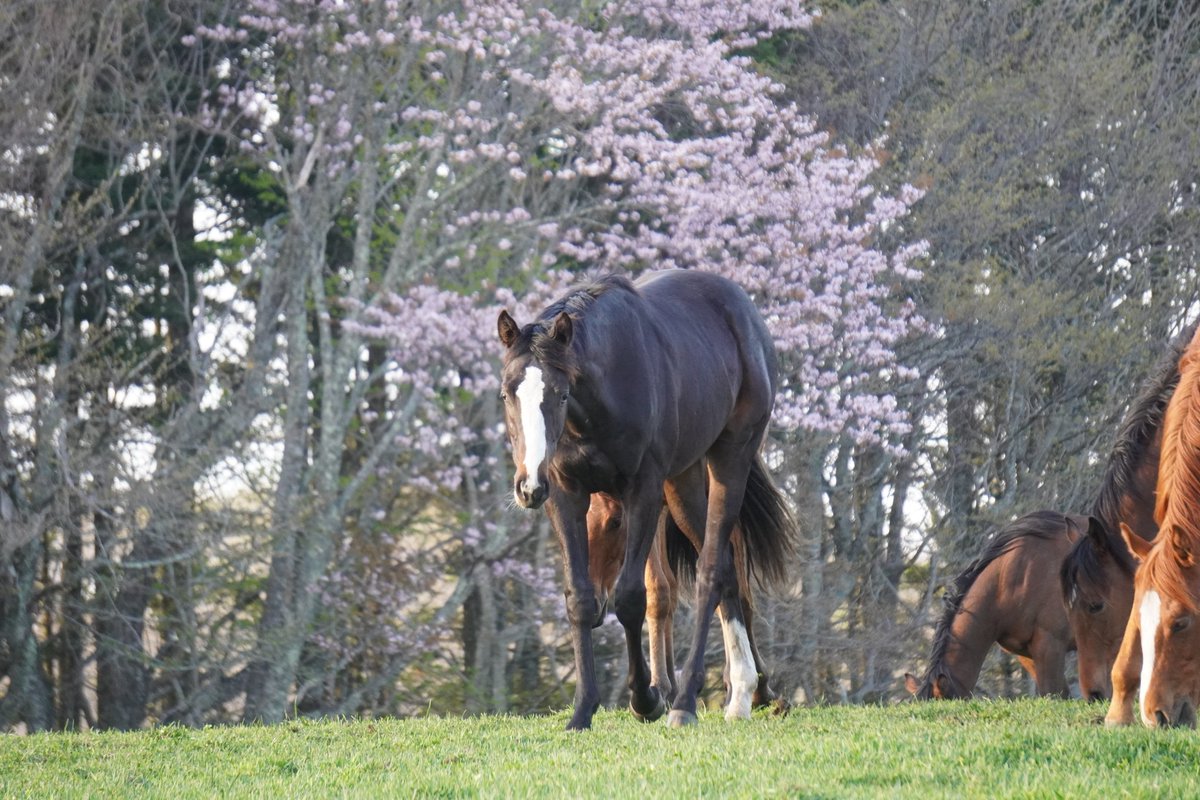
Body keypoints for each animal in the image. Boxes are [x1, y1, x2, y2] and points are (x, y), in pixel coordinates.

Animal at [587, 484, 777, 711]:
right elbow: (660, 590)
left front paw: (756, 687)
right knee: (670, 588)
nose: (595, 605)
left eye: (615, 522)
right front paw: (661, 686)